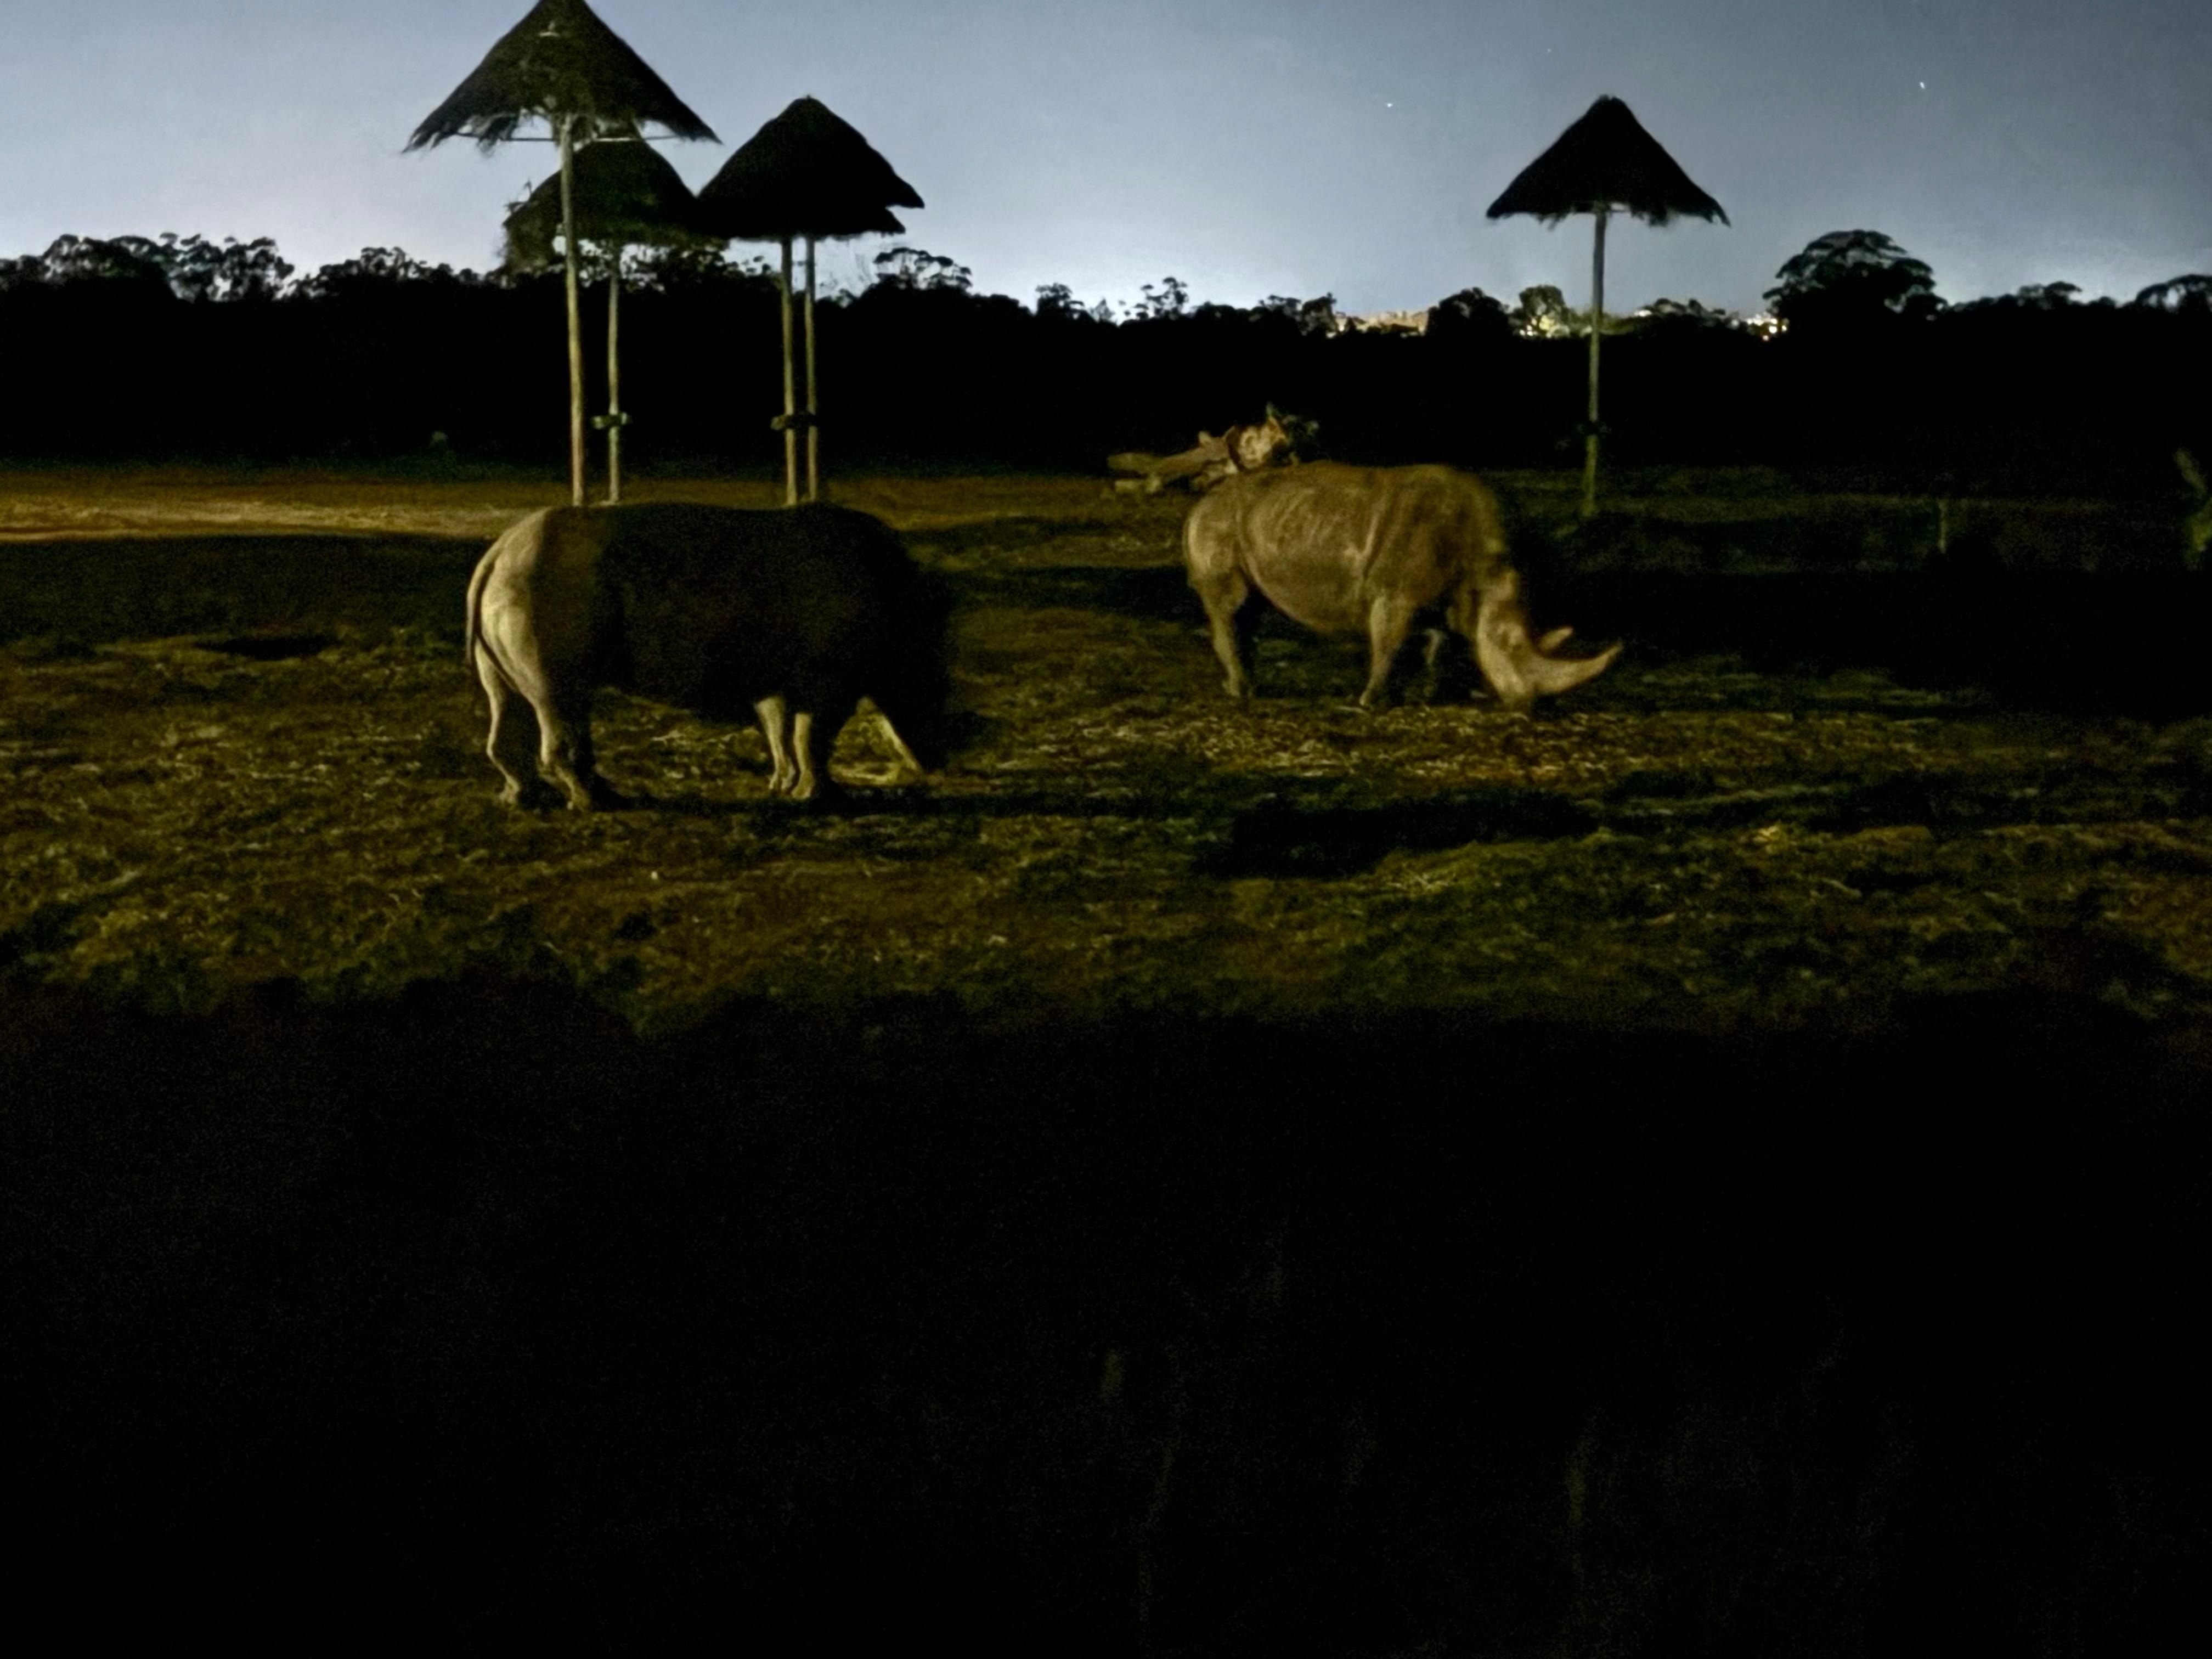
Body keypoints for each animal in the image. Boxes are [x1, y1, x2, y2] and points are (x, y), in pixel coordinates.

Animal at [464, 502, 952, 807]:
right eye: (932, 686)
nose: (940, 763)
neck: (907, 610)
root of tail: (494, 555)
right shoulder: (830, 675)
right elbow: (812, 734)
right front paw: (823, 798)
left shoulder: (777, 671)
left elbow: (781, 728)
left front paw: (782, 786)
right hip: (545, 589)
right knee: (561, 698)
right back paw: (598, 804)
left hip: (516, 585)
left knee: (510, 698)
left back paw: (526, 801)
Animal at [1183, 462, 1620, 710]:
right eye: (1511, 646)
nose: (1531, 706)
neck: (1486, 572)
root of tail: (1199, 504)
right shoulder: (1393, 594)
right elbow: (1389, 644)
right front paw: (1371, 702)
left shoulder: (1446, 596)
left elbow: (1437, 646)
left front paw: (1426, 697)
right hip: (1219, 523)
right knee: (1231, 605)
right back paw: (1242, 692)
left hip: (1252, 522)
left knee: (1250, 609)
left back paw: (1248, 688)